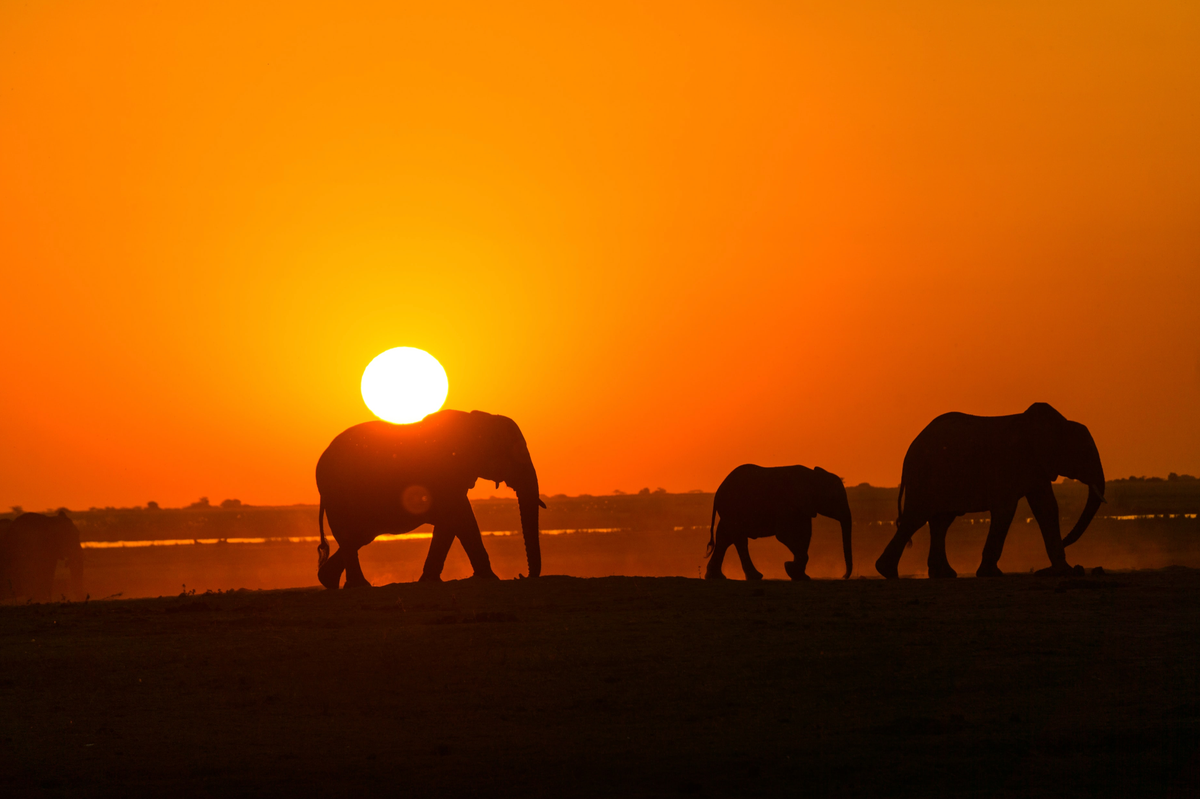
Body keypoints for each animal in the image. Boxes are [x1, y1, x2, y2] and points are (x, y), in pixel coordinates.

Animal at [316, 410, 547, 585]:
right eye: (516, 453)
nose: (521, 576)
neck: (477, 420)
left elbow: (452, 523)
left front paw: (430, 580)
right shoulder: (443, 474)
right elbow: (461, 518)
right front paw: (491, 579)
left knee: (360, 536)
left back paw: (330, 580)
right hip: (338, 493)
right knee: (351, 536)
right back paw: (358, 586)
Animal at [700, 460, 854, 578]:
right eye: (834, 499)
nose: (844, 576)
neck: (812, 475)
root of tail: (718, 491)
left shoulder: (803, 507)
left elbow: (805, 535)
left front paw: (798, 574)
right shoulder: (787, 504)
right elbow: (784, 535)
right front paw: (790, 568)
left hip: (729, 511)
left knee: (724, 539)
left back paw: (716, 577)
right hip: (732, 508)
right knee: (739, 539)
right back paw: (755, 577)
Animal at [873, 400, 1104, 575]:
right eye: (1084, 455)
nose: (1066, 541)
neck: (1059, 423)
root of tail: (909, 450)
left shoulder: (1037, 466)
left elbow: (1046, 508)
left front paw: (1066, 571)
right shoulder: (1010, 462)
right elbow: (1006, 510)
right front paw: (991, 574)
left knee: (941, 521)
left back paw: (943, 574)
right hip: (925, 476)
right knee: (917, 517)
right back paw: (887, 571)